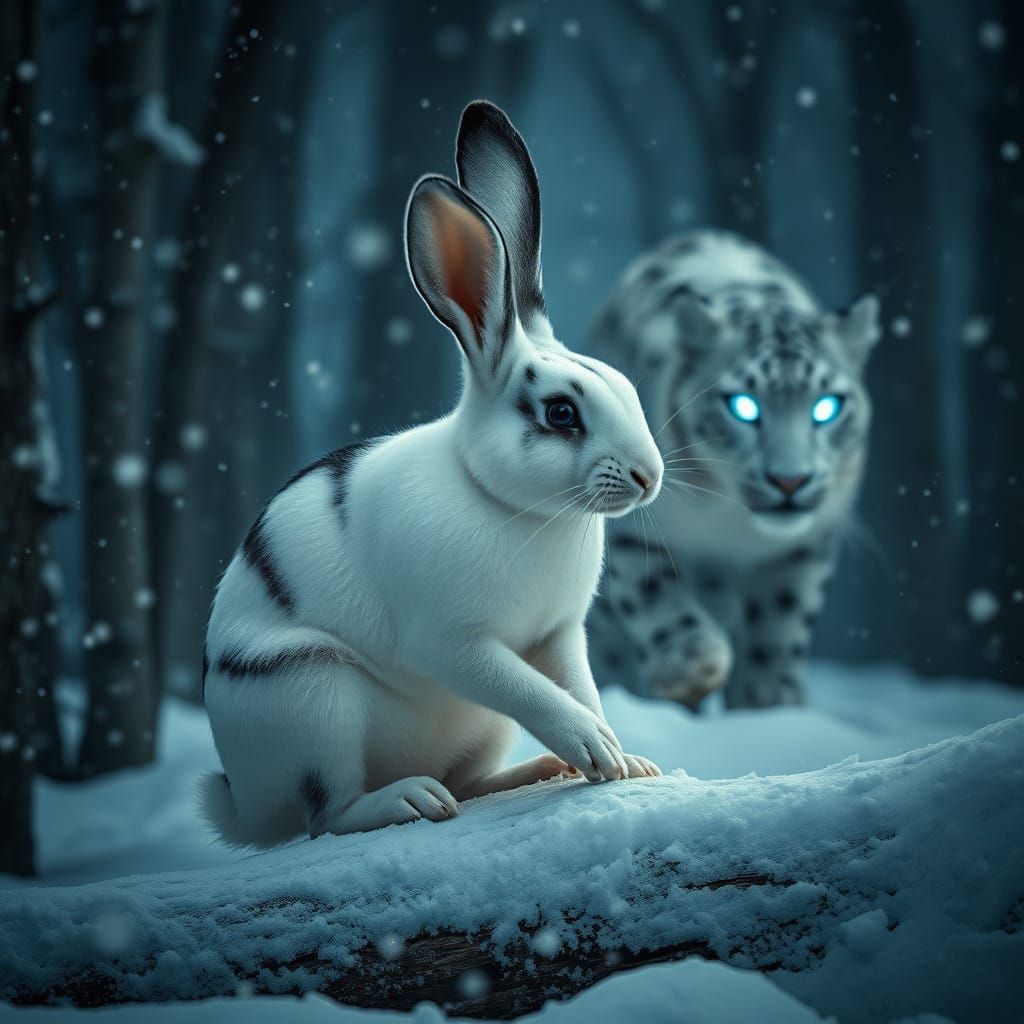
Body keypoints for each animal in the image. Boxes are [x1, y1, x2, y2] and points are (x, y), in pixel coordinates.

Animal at [198, 101, 665, 847]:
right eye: (561, 412)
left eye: (623, 385)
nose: (650, 475)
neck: (511, 506)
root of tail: (246, 811)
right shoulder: (455, 645)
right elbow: (533, 691)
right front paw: (594, 747)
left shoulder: (559, 636)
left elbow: (577, 686)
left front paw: (623, 761)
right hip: (311, 695)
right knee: (329, 815)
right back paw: (408, 800)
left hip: (475, 730)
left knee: (467, 784)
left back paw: (533, 771)